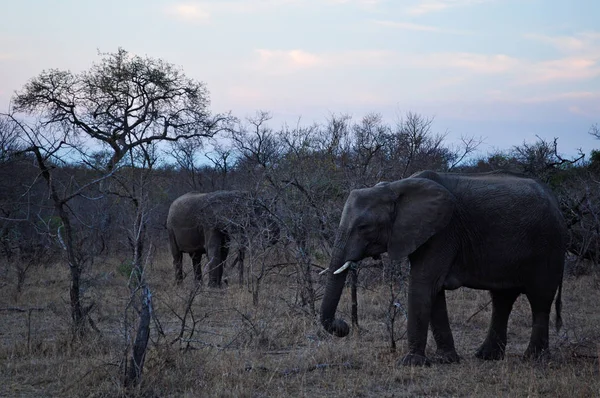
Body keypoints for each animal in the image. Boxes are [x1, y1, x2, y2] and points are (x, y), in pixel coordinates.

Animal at [322, 169, 564, 366]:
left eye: (364, 227)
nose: (344, 326)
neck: (395, 187)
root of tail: (554, 198)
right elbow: (433, 290)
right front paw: (445, 360)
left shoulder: (443, 231)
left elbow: (423, 282)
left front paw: (411, 363)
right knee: (502, 299)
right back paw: (487, 356)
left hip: (548, 245)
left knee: (540, 299)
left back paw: (533, 359)